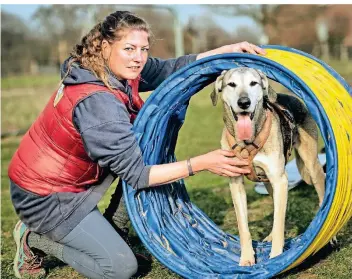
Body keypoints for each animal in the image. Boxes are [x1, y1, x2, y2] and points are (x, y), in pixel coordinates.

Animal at [210, 67, 326, 266]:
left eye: (253, 83)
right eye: (231, 84)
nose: (244, 102)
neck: (247, 142)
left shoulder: (280, 180)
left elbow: (279, 223)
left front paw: (277, 255)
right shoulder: (236, 183)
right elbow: (243, 226)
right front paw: (247, 258)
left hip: (310, 164)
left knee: (321, 186)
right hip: (268, 183)